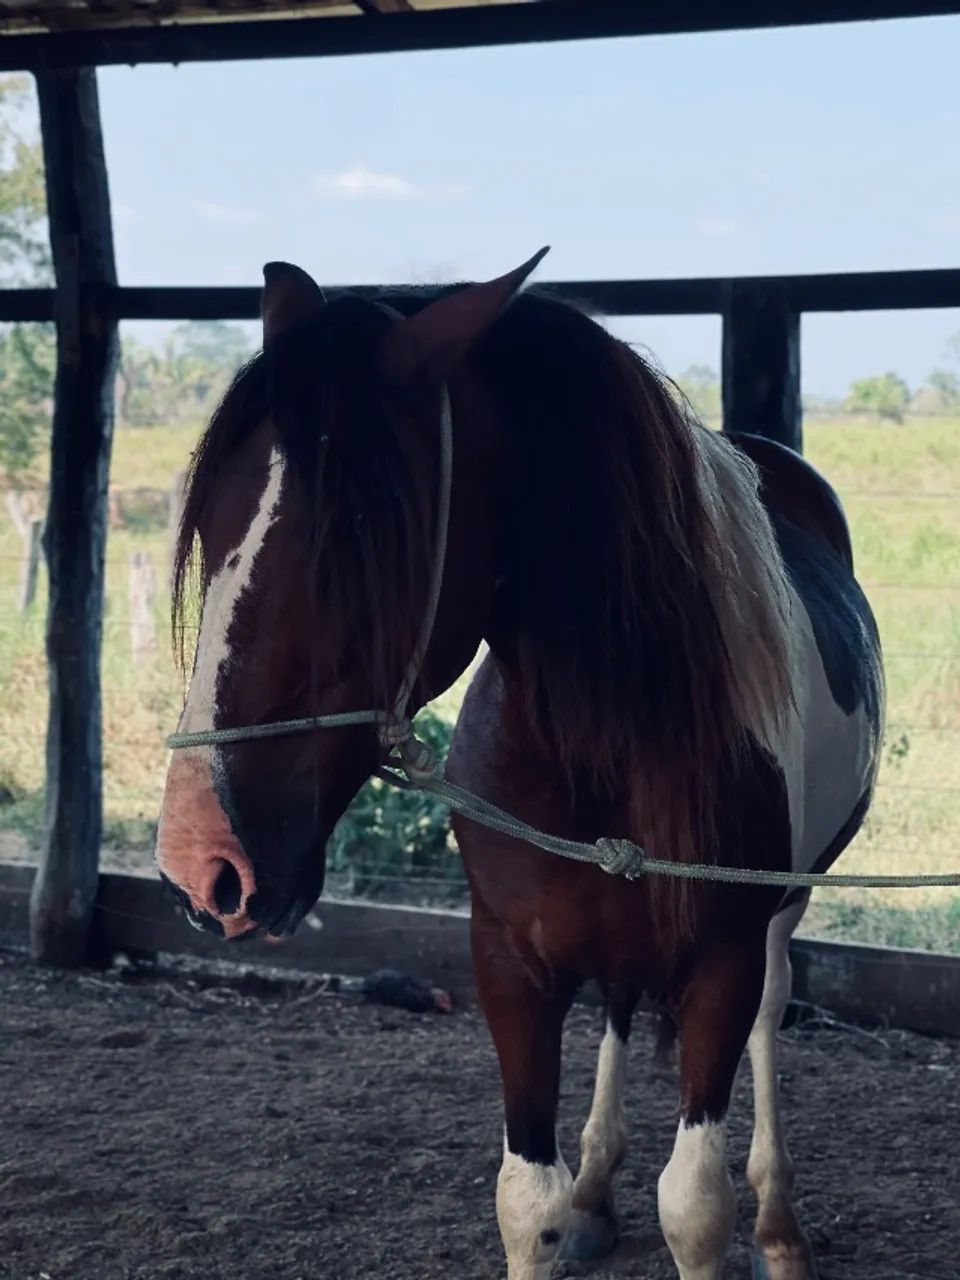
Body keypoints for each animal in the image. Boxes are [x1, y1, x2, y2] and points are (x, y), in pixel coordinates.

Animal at [156, 253, 884, 1280]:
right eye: (209, 526)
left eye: (358, 538)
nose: (201, 861)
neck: (592, 750)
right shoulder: (508, 961)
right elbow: (524, 1199)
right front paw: (570, 1200)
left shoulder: (723, 959)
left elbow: (695, 1207)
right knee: (619, 1006)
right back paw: (597, 1189)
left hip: (785, 906)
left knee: (772, 1015)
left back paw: (780, 1224)